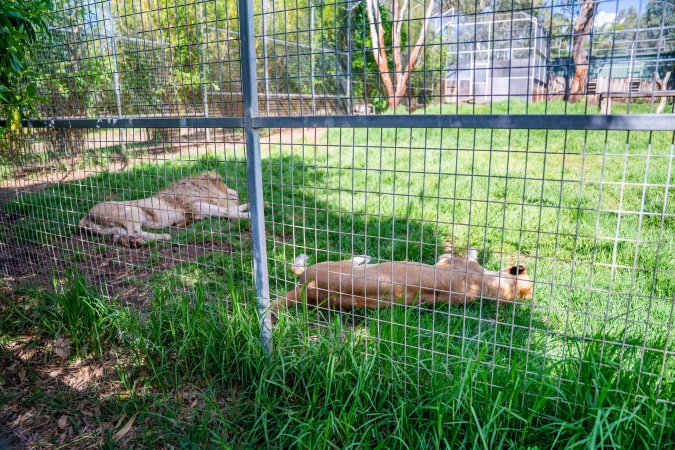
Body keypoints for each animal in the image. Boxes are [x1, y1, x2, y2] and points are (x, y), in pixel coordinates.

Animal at [79, 172, 249, 246]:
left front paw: (249, 205)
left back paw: (138, 242)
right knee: (135, 231)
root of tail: (85, 216)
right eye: (224, 184)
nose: (237, 192)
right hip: (131, 211)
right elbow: (228, 211)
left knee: (121, 235)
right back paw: (164, 236)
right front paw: (249, 215)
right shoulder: (197, 206)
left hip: (115, 227)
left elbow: (234, 209)